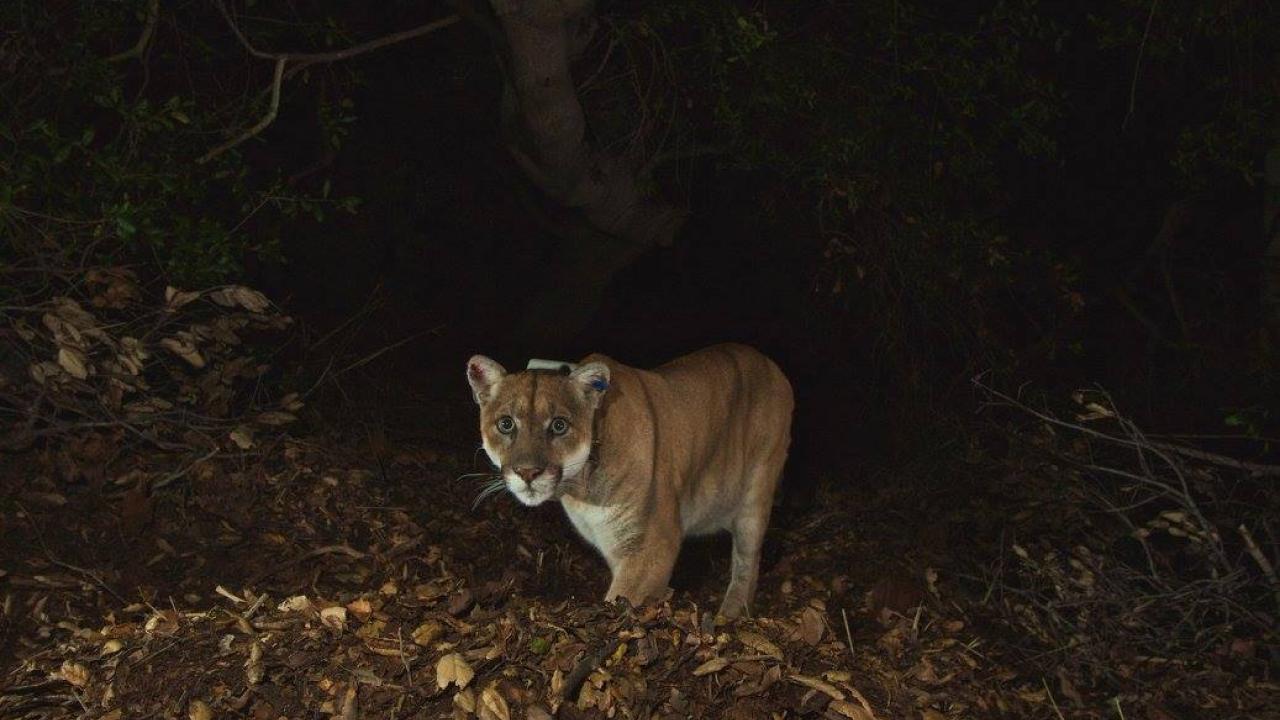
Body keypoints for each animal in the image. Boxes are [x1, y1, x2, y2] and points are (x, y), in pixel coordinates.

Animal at [465, 340, 793, 617]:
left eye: (559, 425)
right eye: (506, 424)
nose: (528, 472)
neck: (581, 488)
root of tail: (769, 363)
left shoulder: (652, 546)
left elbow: (622, 601)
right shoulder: (614, 544)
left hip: (756, 494)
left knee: (747, 561)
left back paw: (732, 613)